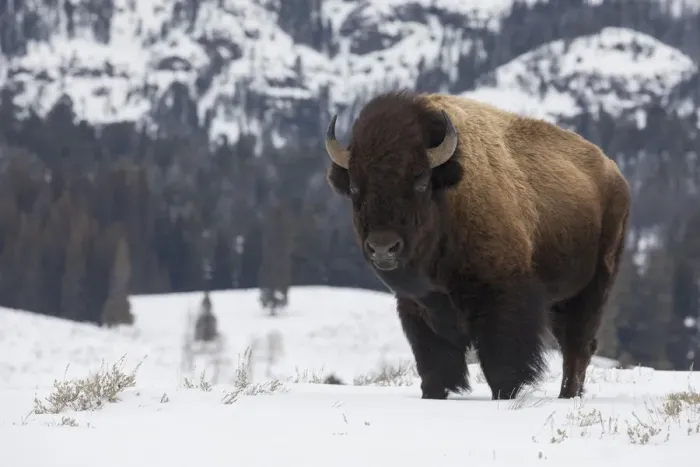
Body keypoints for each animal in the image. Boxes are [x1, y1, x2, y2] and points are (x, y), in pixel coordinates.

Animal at [323, 90, 631, 401]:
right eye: (355, 187)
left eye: (420, 182)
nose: (383, 247)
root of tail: (615, 175)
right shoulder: (418, 305)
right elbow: (434, 362)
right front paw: (433, 394)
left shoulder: (503, 296)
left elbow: (501, 360)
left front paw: (505, 394)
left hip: (594, 285)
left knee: (577, 344)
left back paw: (568, 394)